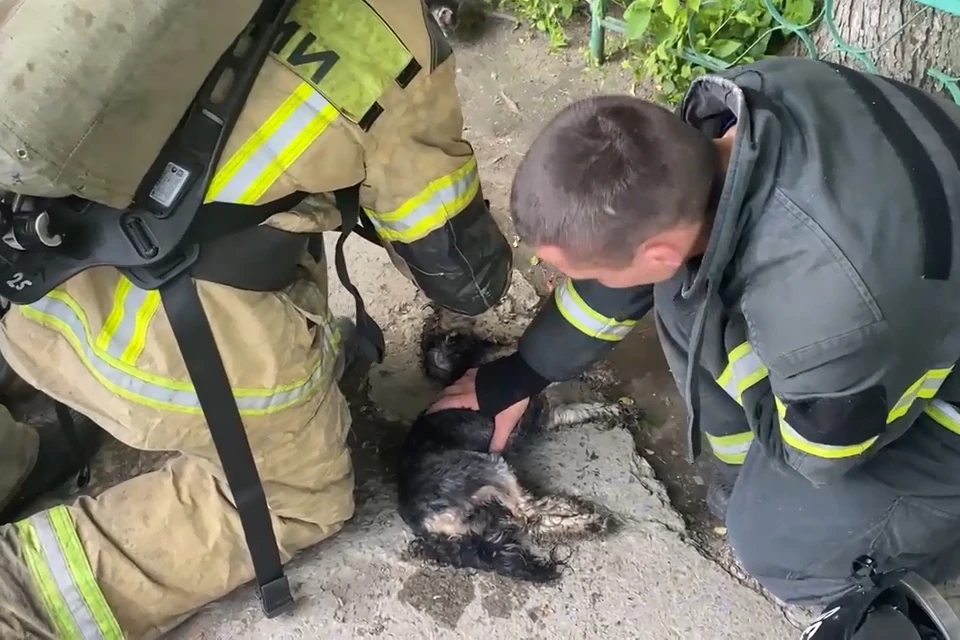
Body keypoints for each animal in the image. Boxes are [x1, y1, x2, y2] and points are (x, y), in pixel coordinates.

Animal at [396, 308, 624, 584]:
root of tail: (427, 527)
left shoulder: (548, 414)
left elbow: (579, 409)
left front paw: (610, 409)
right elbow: (558, 372)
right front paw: (600, 375)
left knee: (529, 518)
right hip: (490, 468)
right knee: (528, 513)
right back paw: (586, 520)